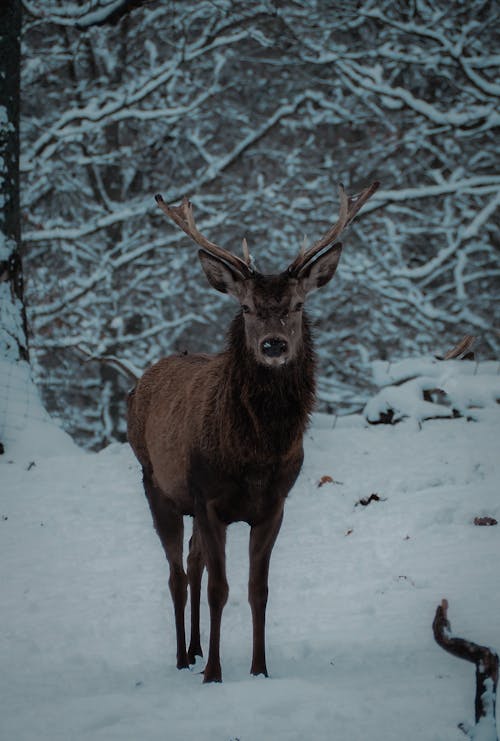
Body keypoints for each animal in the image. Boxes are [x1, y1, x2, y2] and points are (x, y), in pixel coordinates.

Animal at [126, 181, 378, 684]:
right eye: (245, 307)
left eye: (298, 305)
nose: (273, 345)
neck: (256, 457)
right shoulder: (208, 498)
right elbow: (220, 589)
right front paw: (215, 673)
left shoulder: (273, 505)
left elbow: (257, 588)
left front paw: (260, 669)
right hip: (157, 484)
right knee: (177, 575)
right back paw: (183, 657)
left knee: (192, 563)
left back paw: (196, 648)